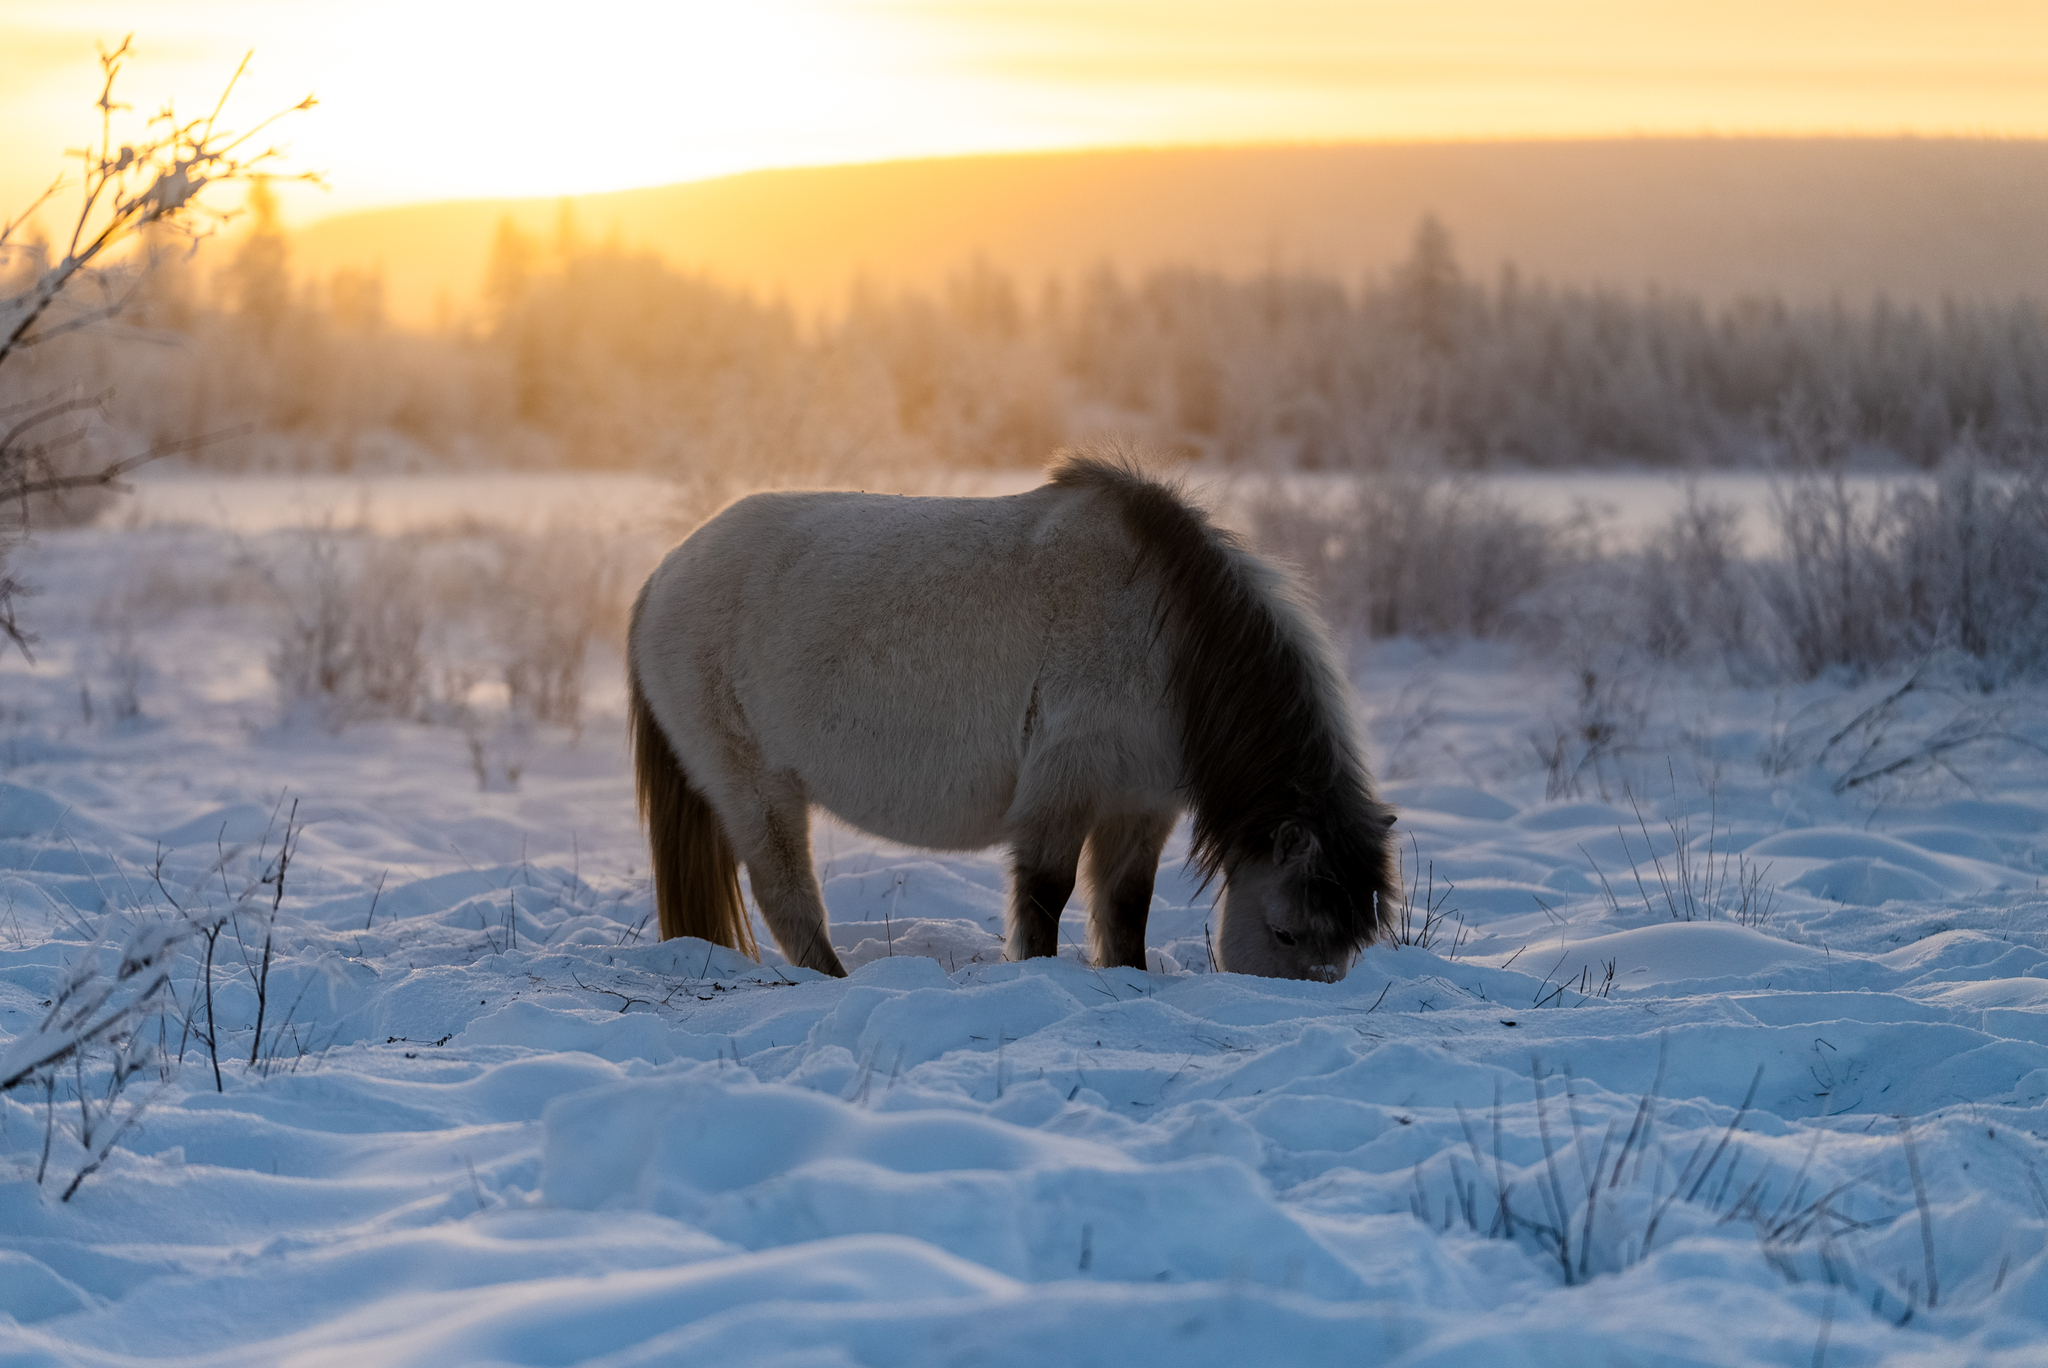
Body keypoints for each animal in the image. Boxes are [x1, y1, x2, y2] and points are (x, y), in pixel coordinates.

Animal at [622, 454, 1392, 978]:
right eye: (1287, 932)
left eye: (1354, 940)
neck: (1159, 633)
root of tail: (663, 575)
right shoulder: (1063, 788)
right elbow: (1047, 896)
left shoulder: (1140, 802)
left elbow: (1125, 907)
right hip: (755, 786)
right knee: (787, 896)